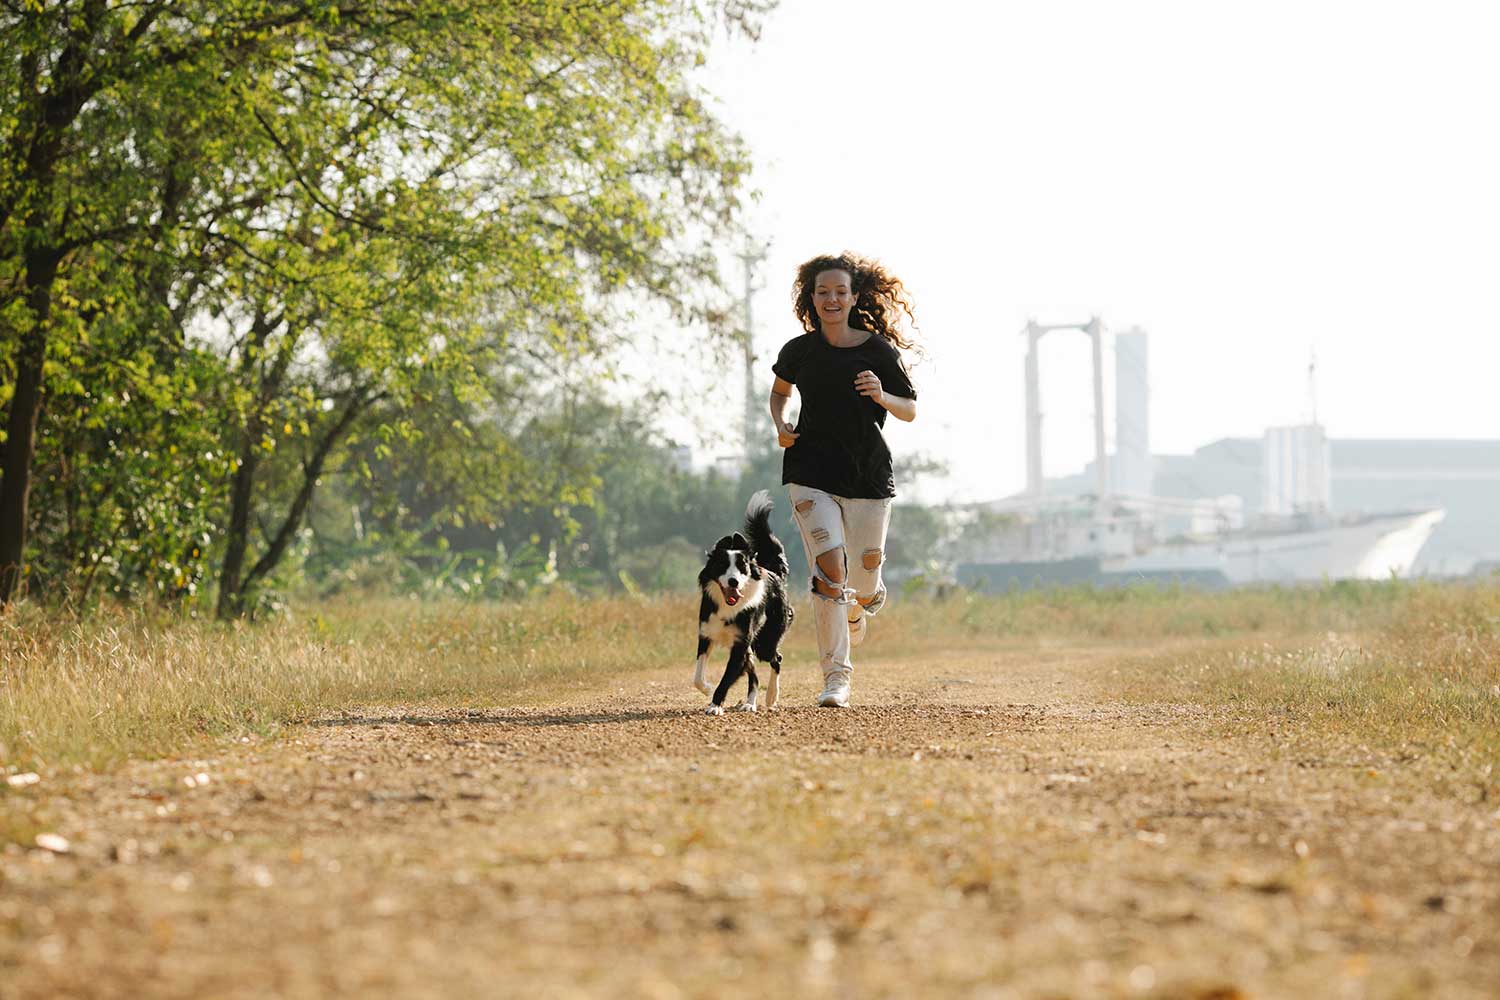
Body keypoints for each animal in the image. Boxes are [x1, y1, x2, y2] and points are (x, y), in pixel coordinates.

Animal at [693, 491, 798, 710]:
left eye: (743, 567)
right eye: (722, 565)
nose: (733, 581)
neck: (728, 607)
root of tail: (775, 573)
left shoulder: (740, 644)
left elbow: (726, 679)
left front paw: (715, 706)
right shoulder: (706, 634)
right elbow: (697, 676)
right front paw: (707, 688)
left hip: (765, 641)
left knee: (776, 658)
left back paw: (771, 696)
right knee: (754, 672)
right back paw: (750, 703)